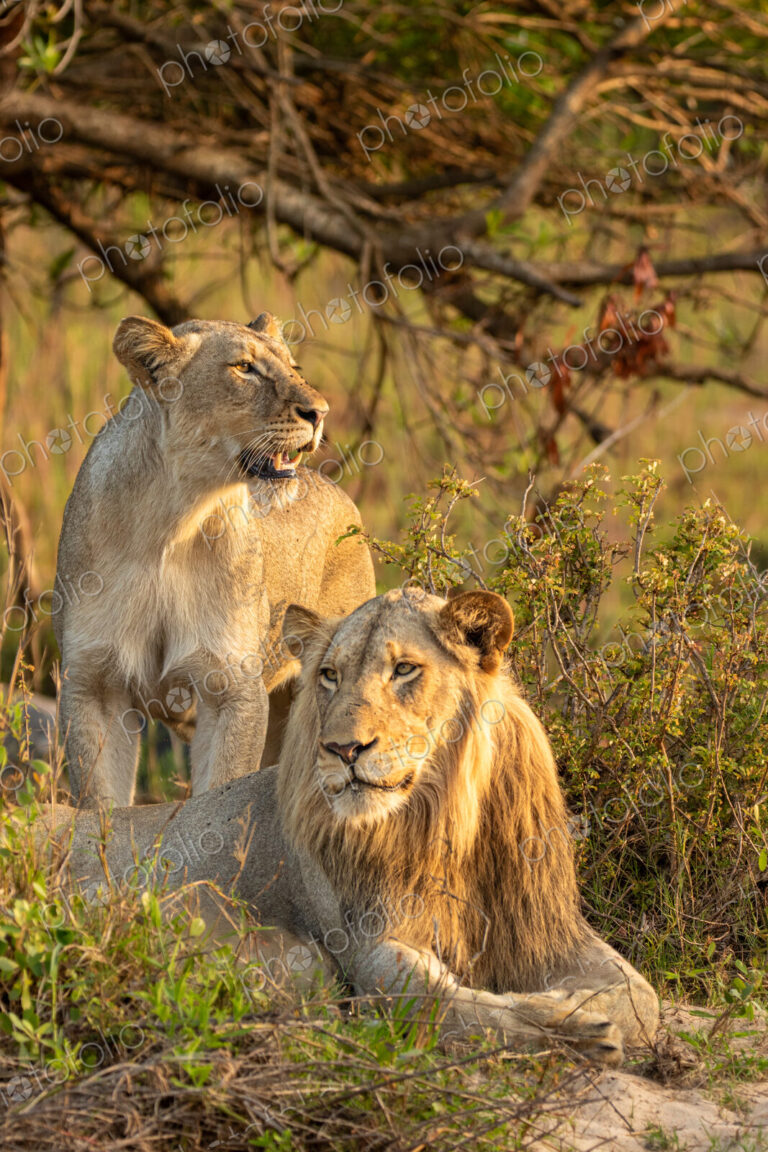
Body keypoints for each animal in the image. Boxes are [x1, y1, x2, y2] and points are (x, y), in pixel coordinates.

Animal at [42, 588, 659, 1062]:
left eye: (404, 669)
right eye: (329, 676)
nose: (342, 749)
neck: (444, 824)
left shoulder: (548, 935)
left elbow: (641, 999)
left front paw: (580, 1010)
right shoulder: (362, 939)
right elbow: (424, 994)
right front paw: (568, 1029)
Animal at [54, 312, 374, 806]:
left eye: (293, 367)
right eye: (244, 368)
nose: (321, 412)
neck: (171, 522)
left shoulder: (231, 687)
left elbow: (220, 788)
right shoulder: (93, 683)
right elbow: (100, 804)